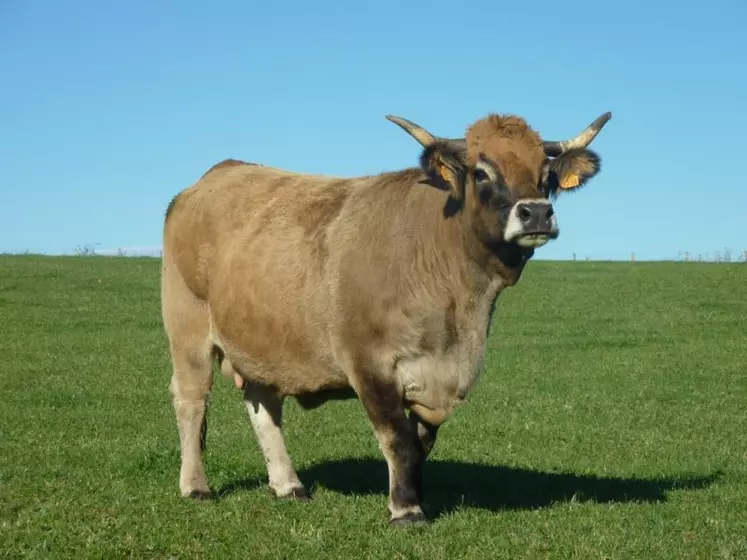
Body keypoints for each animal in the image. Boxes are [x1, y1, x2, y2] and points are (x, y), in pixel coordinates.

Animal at [161, 109, 612, 524]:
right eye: (482, 171)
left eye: (546, 173)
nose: (536, 213)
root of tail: (217, 174)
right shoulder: (369, 364)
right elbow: (396, 437)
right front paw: (405, 509)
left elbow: (421, 442)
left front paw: (419, 495)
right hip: (188, 328)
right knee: (191, 400)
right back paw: (196, 486)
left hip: (263, 342)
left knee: (264, 405)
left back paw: (289, 485)